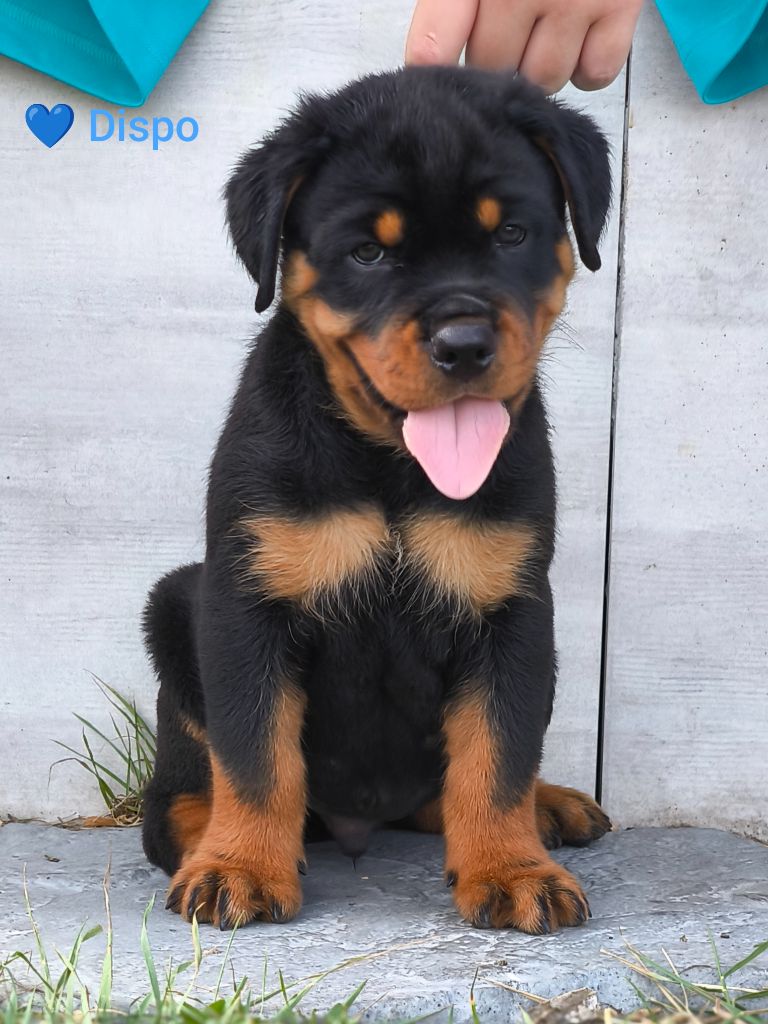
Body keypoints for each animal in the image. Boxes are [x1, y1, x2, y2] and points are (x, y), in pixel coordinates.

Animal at [141, 65, 613, 933]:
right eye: (367, 252)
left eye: (511, 236)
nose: (464, 344)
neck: (392, 467)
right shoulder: (245, 605)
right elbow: (254, 753)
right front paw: (241, 866)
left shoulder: (513, 612)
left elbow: (496, 756)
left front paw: (510, 867)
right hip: (175, 609)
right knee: (183, 795)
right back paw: (204, 843)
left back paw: (548, 807)